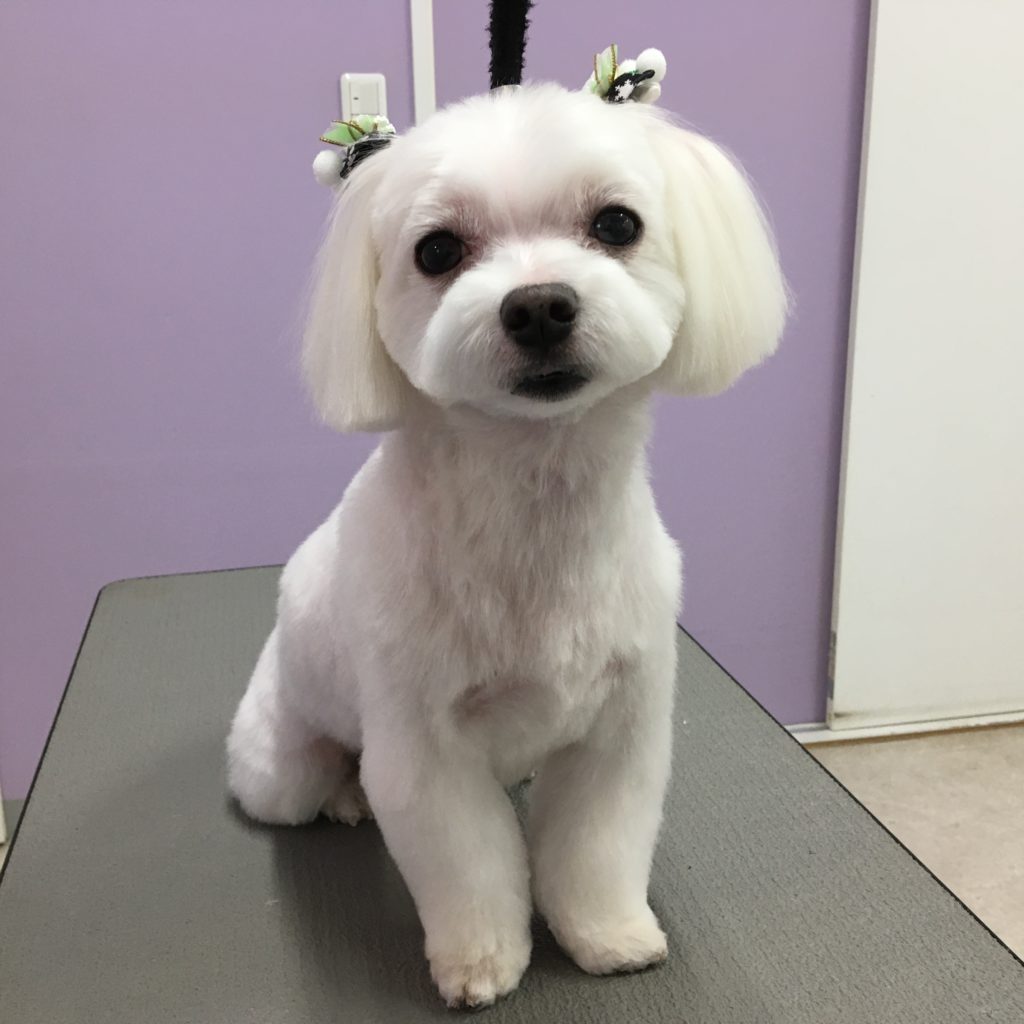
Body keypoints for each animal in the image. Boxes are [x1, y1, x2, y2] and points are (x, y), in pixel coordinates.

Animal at [227, 80, 786, 1008]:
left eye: (617, 224)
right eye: (438, 250)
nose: (538, 304)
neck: (534, 503)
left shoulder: (620, 731)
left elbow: (596, 849)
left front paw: (609, 935)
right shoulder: (426, 750)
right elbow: (469, 866)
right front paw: (481, 962)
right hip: (281, 767)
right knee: (316, 778)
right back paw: (344, 796)